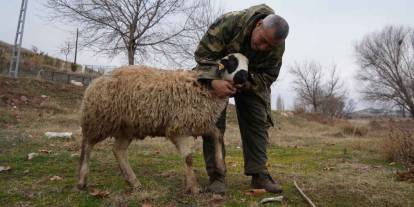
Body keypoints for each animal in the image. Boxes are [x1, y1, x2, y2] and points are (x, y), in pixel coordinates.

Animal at [76, 52, 247, 193]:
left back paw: (134, 183)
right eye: (231, 62)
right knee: (87, 145)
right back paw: (82, 180)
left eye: (248, 64)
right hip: (98, 120)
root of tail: (96, 80)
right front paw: (193, 187)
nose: (244, 78)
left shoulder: (200, 123)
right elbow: (188, 158)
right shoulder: (178, 128)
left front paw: (221, 166)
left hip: (127, 127)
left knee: (118, 150)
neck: (205, 86)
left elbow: (218, 135)